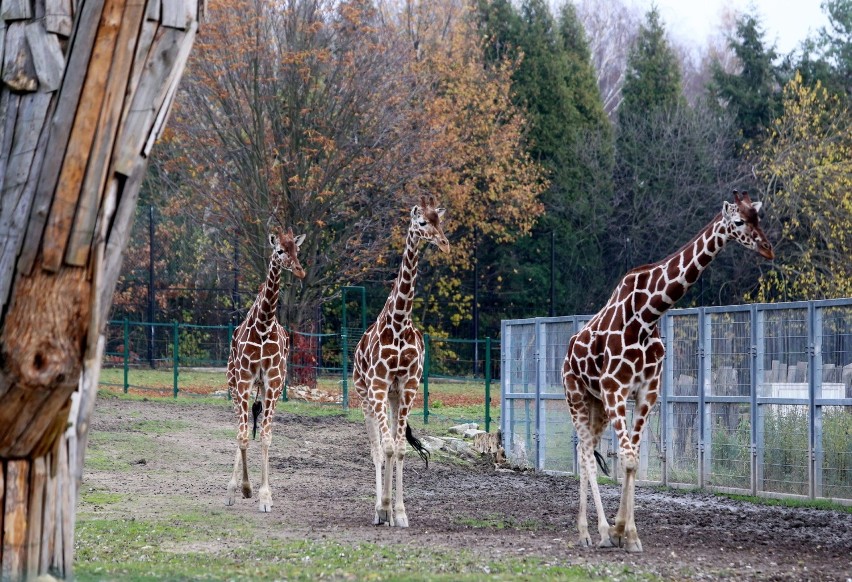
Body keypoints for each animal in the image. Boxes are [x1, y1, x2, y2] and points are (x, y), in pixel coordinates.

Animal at [226, 226, 306, 512]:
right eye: (279, 250)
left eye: (297, 249)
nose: (300, 270)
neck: (263, 325)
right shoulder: (243, 382)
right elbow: (242, 436)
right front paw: (244, 489)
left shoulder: (273, 382)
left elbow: (266, 437)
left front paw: (265, 496)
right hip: (233, 384)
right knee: (238, 429)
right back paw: (234, 489)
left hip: (266, 387)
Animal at [352, 196, 450, 528]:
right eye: (422, 223)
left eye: (441, 221)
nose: (444, 244)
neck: (398, 322)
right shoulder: (379, 384)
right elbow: (385, 447)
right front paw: (383, 509)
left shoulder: (407, 386)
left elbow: (400, 450)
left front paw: (400, 513)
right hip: (366, 395)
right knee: (376, 448)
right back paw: (377, 511)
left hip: (393, 398)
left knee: (391, 446)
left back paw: (390, 512)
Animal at [564, 194, 772, 556]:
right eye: (738, 222)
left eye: (759, 218)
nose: (767, 248)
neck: (647, 315)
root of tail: (567, 352)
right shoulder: (615, 388)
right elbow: (628, 459)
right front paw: (618, 531)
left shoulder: (646, 392)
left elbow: (631, 460)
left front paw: (628, 534)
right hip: (576, 395)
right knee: (586, 454)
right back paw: (595, 533)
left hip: (597, 404)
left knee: (584, 450)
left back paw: (587, 532)